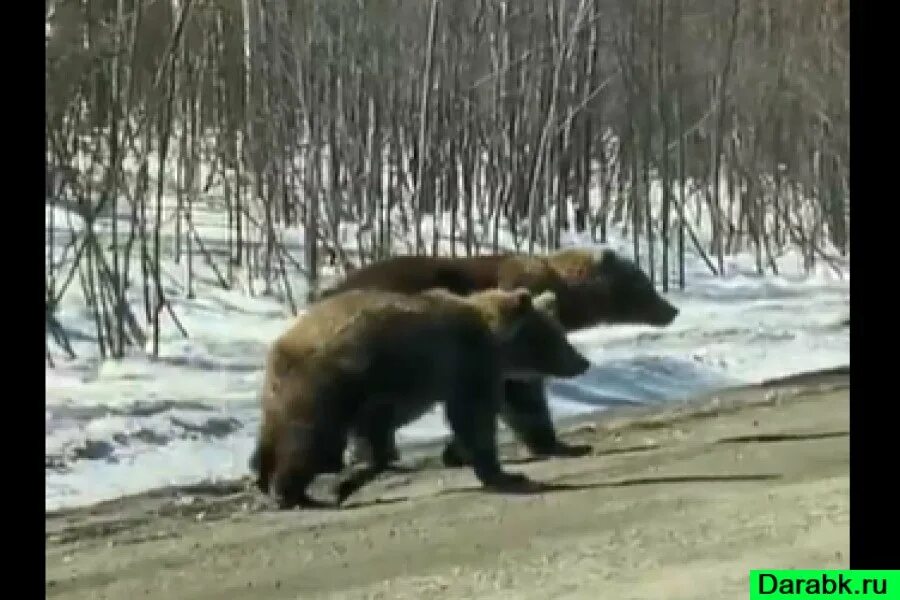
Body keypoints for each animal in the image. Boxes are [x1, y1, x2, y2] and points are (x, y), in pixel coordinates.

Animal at [253, 284, 592, 506]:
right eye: (560, 336)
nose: (583, 362)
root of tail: (282, 345)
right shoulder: (466, 366)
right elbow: (475, 418)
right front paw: (505, 474)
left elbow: (520, 407)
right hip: (328, 385)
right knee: (314, 438)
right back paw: (292, 492)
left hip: (291, 392)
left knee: (276, 433)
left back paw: (264, 475)